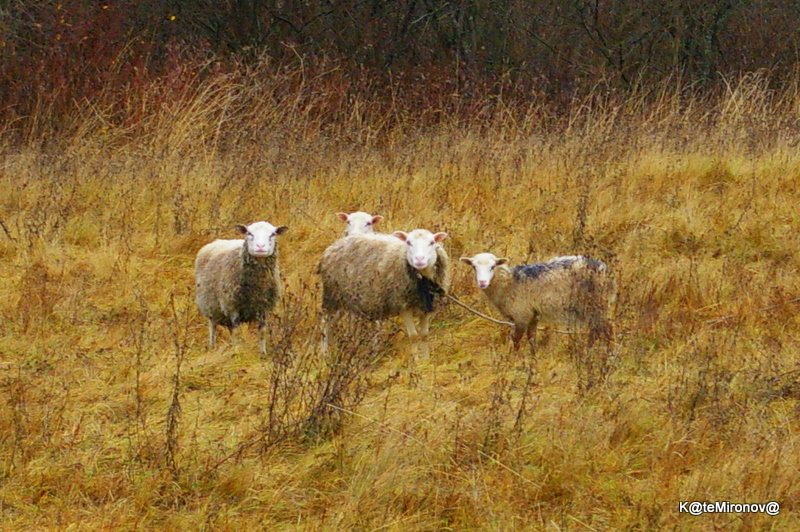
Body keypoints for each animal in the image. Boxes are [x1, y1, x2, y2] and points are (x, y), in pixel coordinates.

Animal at [195, 222, 290, 356]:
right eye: (249, 233)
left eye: (273, 234)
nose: (260, 247)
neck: (257, 286)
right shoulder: (232, 306)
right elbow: (237, 332)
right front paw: (237, 352)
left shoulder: (263, 307)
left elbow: (262, 331)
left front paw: (263, 353)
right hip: (210, 305)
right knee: (212, 328)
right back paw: (212, 346)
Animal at [318, 231, 450, 356]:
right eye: (408, 242)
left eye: (432, 242)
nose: (419, 260)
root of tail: (332, 247)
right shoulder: (403, 306)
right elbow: (413, 337)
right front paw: (416, 362)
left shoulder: (427, 308)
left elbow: (424, 336)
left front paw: (426, 360)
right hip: (332, 296)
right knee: (325, 323)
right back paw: (324, 353)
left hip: (344, 301)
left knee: (332, 325)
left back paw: (333, 350)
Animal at [456, 252, 612, 352]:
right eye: (474, 267)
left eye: (493, 267)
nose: (482, 283)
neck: (510, 283)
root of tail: (602, 268)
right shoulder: (533, 315)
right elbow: (532, 338)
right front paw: (533, 357)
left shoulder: (521, 315)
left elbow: (516, 340)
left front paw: (512, 360)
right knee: (597, 329)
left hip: (594, 303)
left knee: (606, 327)